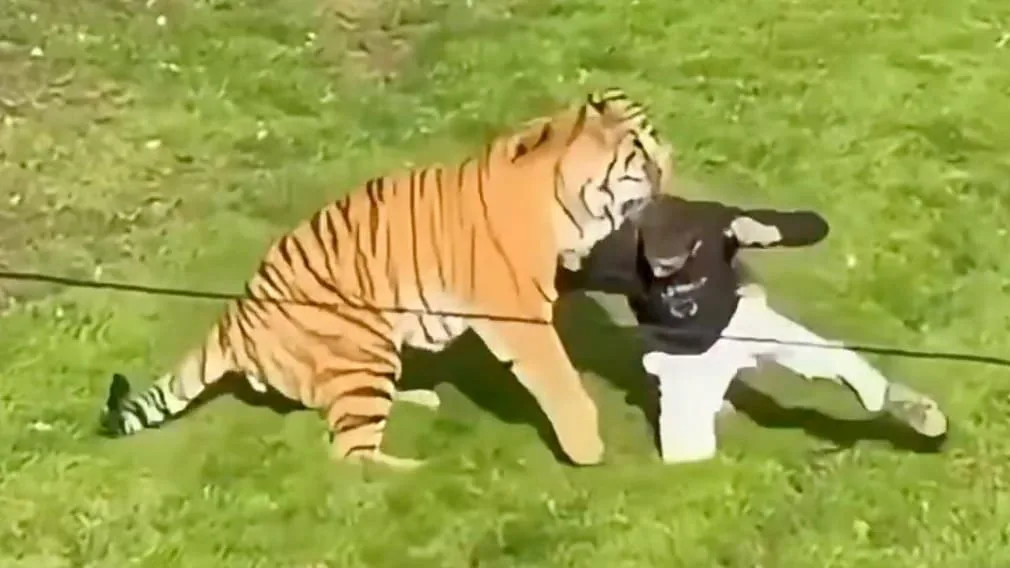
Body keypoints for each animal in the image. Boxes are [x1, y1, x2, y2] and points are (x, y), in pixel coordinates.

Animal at [99, 88, 673, 469]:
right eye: (644, 155)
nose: (671, 169)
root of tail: (234, 316)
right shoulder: (518, 314)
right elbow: (558, 379)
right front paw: (586, 447)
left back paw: (419, 399)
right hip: (363, 343)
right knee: (348, 455)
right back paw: (420, 471)